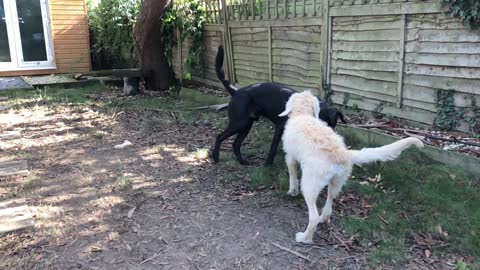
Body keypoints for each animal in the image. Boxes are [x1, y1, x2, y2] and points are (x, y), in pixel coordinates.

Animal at [211, 46, 344, 165]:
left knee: (235, 144)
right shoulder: (280, 127)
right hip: (239, 123)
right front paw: (268, 164)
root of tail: (236, 91)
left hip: (246, 125)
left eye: (333, 126)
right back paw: (215, 157)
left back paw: (242, 162)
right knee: (219, 136)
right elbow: (273, 148)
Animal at [278, 90, 424, 243]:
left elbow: (292, 175)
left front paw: (292, 191)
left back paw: (304, 238)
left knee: (313, 217)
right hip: (337, 182)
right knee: (328, 207)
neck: (303, 114)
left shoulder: (290, 157)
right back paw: (323, 219)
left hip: (310, 185)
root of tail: (342, 153)